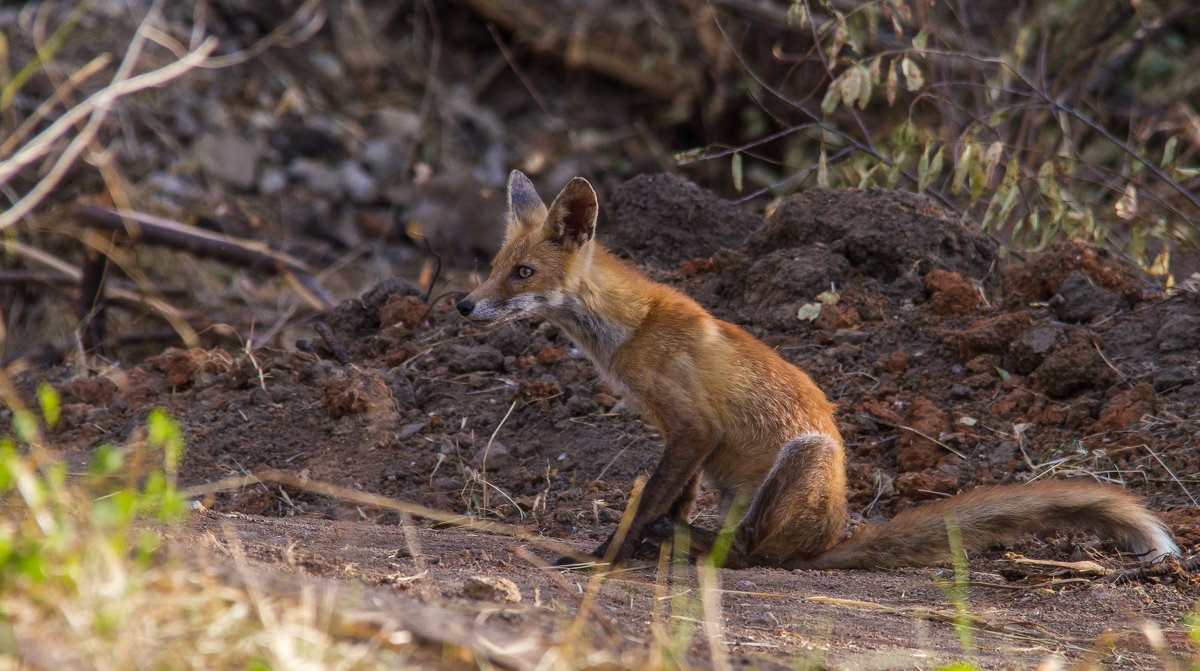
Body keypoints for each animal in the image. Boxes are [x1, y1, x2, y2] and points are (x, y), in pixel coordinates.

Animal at [453, 170, 1176, 568]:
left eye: (523, 273)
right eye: (494, 266)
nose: (463, 303)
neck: (624, 328)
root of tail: (833, 534)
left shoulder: (694, 425)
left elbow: (649, 504)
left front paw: (605, 557)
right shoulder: (677, 435)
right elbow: (667, 495)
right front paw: (628, 549)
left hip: (799, 459)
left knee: (747, 551)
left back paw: (689, 545)